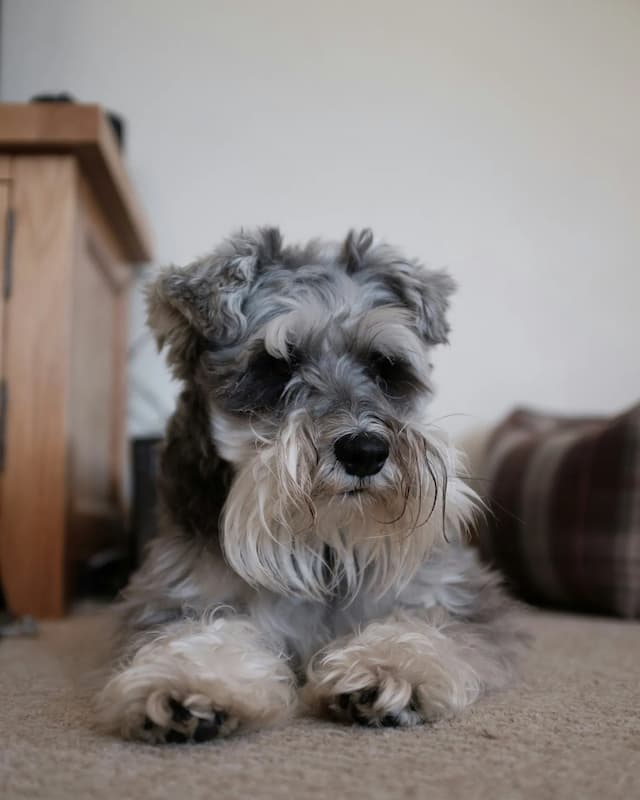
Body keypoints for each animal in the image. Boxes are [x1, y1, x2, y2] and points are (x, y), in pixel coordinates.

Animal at [97, 227, 524, 744]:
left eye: (385, 367)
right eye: (274, 366)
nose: (365, 451)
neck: (326, 544)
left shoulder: (452, 597)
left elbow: (430, 627)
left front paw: (389, 669)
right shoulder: (177, 595)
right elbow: (189, 632)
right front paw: (190, 684)